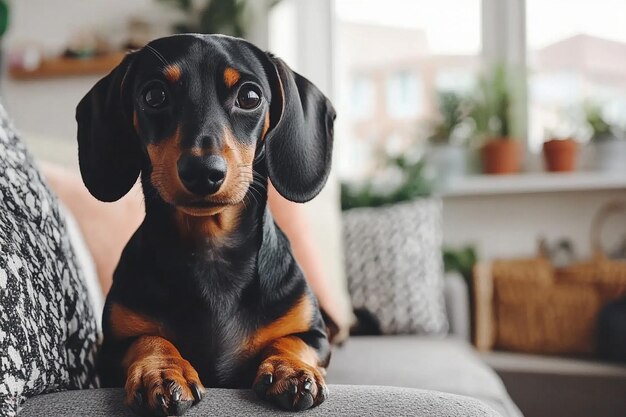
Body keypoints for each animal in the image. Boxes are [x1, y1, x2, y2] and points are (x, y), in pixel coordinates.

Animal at [77, 34, 336, 414]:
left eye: (250, 96)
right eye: (154, 95)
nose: (202, 171)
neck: (211, 250)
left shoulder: (315, 336)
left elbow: (292, 341)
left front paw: (292, 370)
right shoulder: (110, 348)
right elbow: (149, 339)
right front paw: (162, 372)